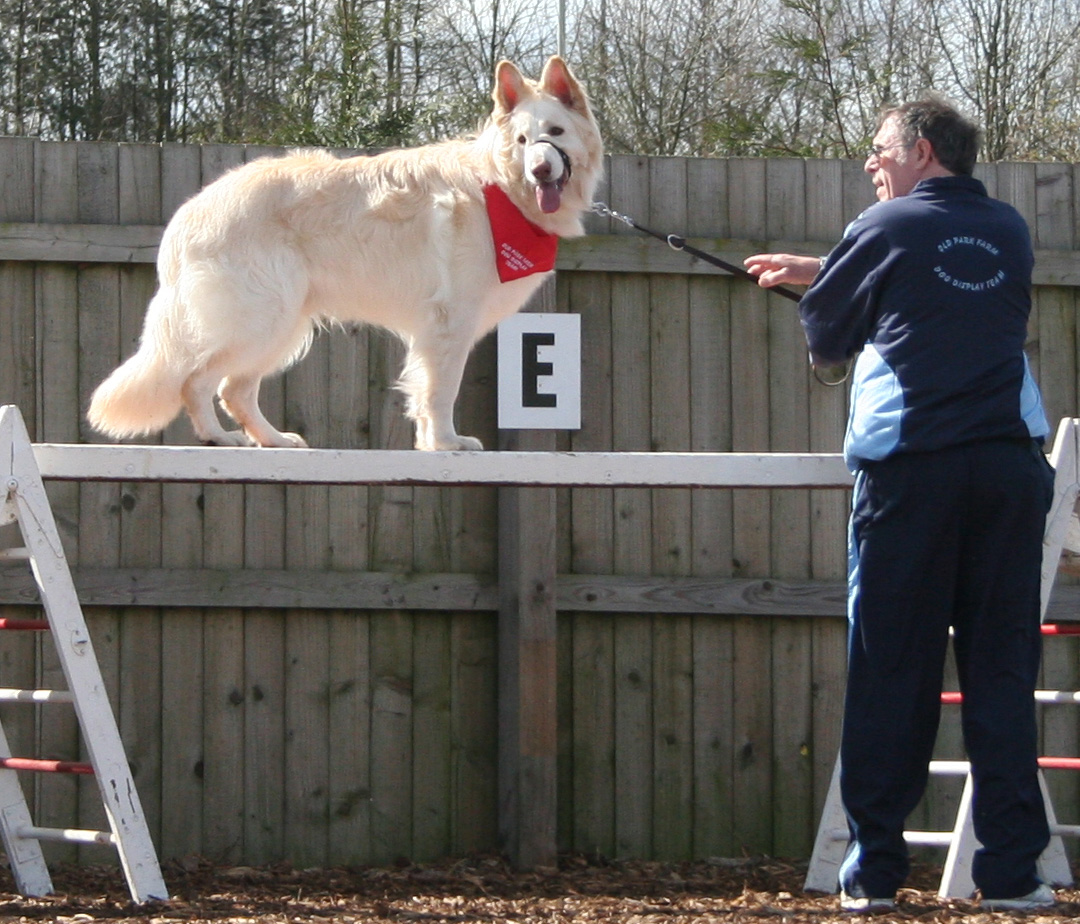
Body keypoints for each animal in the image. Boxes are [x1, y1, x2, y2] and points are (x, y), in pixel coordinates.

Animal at [88, 55, 604, 451]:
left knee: (235, 389)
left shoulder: (435, 331)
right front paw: (446, 443)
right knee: (196, 381)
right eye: (521, 141)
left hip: (284, 326)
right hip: (263, 320)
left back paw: (272, 439)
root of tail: (189, 213)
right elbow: (441, 392)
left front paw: (429, 443)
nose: (539, 171)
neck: (497, 186)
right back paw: (218, 437)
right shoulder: (449, 323)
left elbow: (424, 392)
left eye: (556, 132)